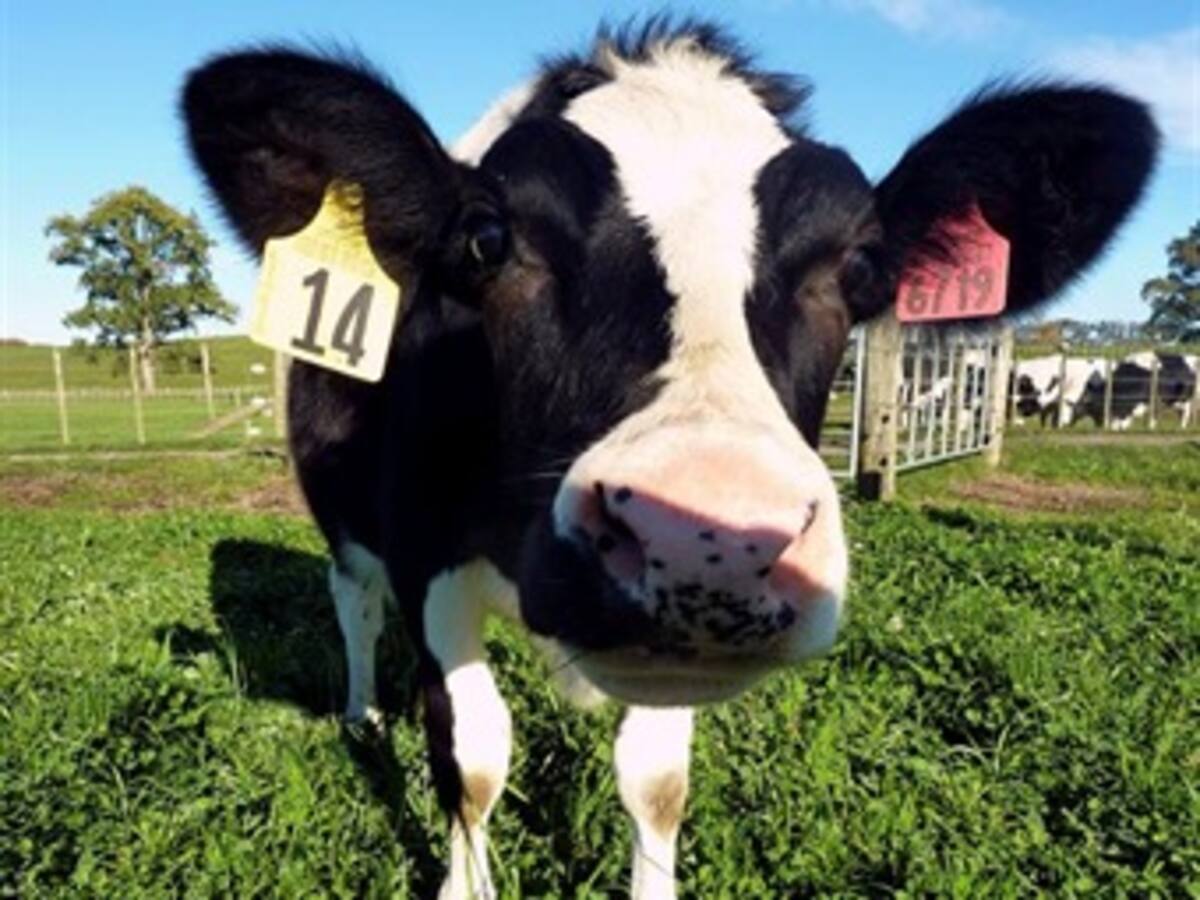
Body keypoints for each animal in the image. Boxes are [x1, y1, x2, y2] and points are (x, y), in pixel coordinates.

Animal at [182, 19, 1157, 899]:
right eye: (488, 241)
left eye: (861, 269)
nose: (707, 539)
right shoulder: (428, 558)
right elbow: (474, 757)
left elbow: (654, 781)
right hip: (341, 511)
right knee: (353, 600)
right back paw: (362, 712)